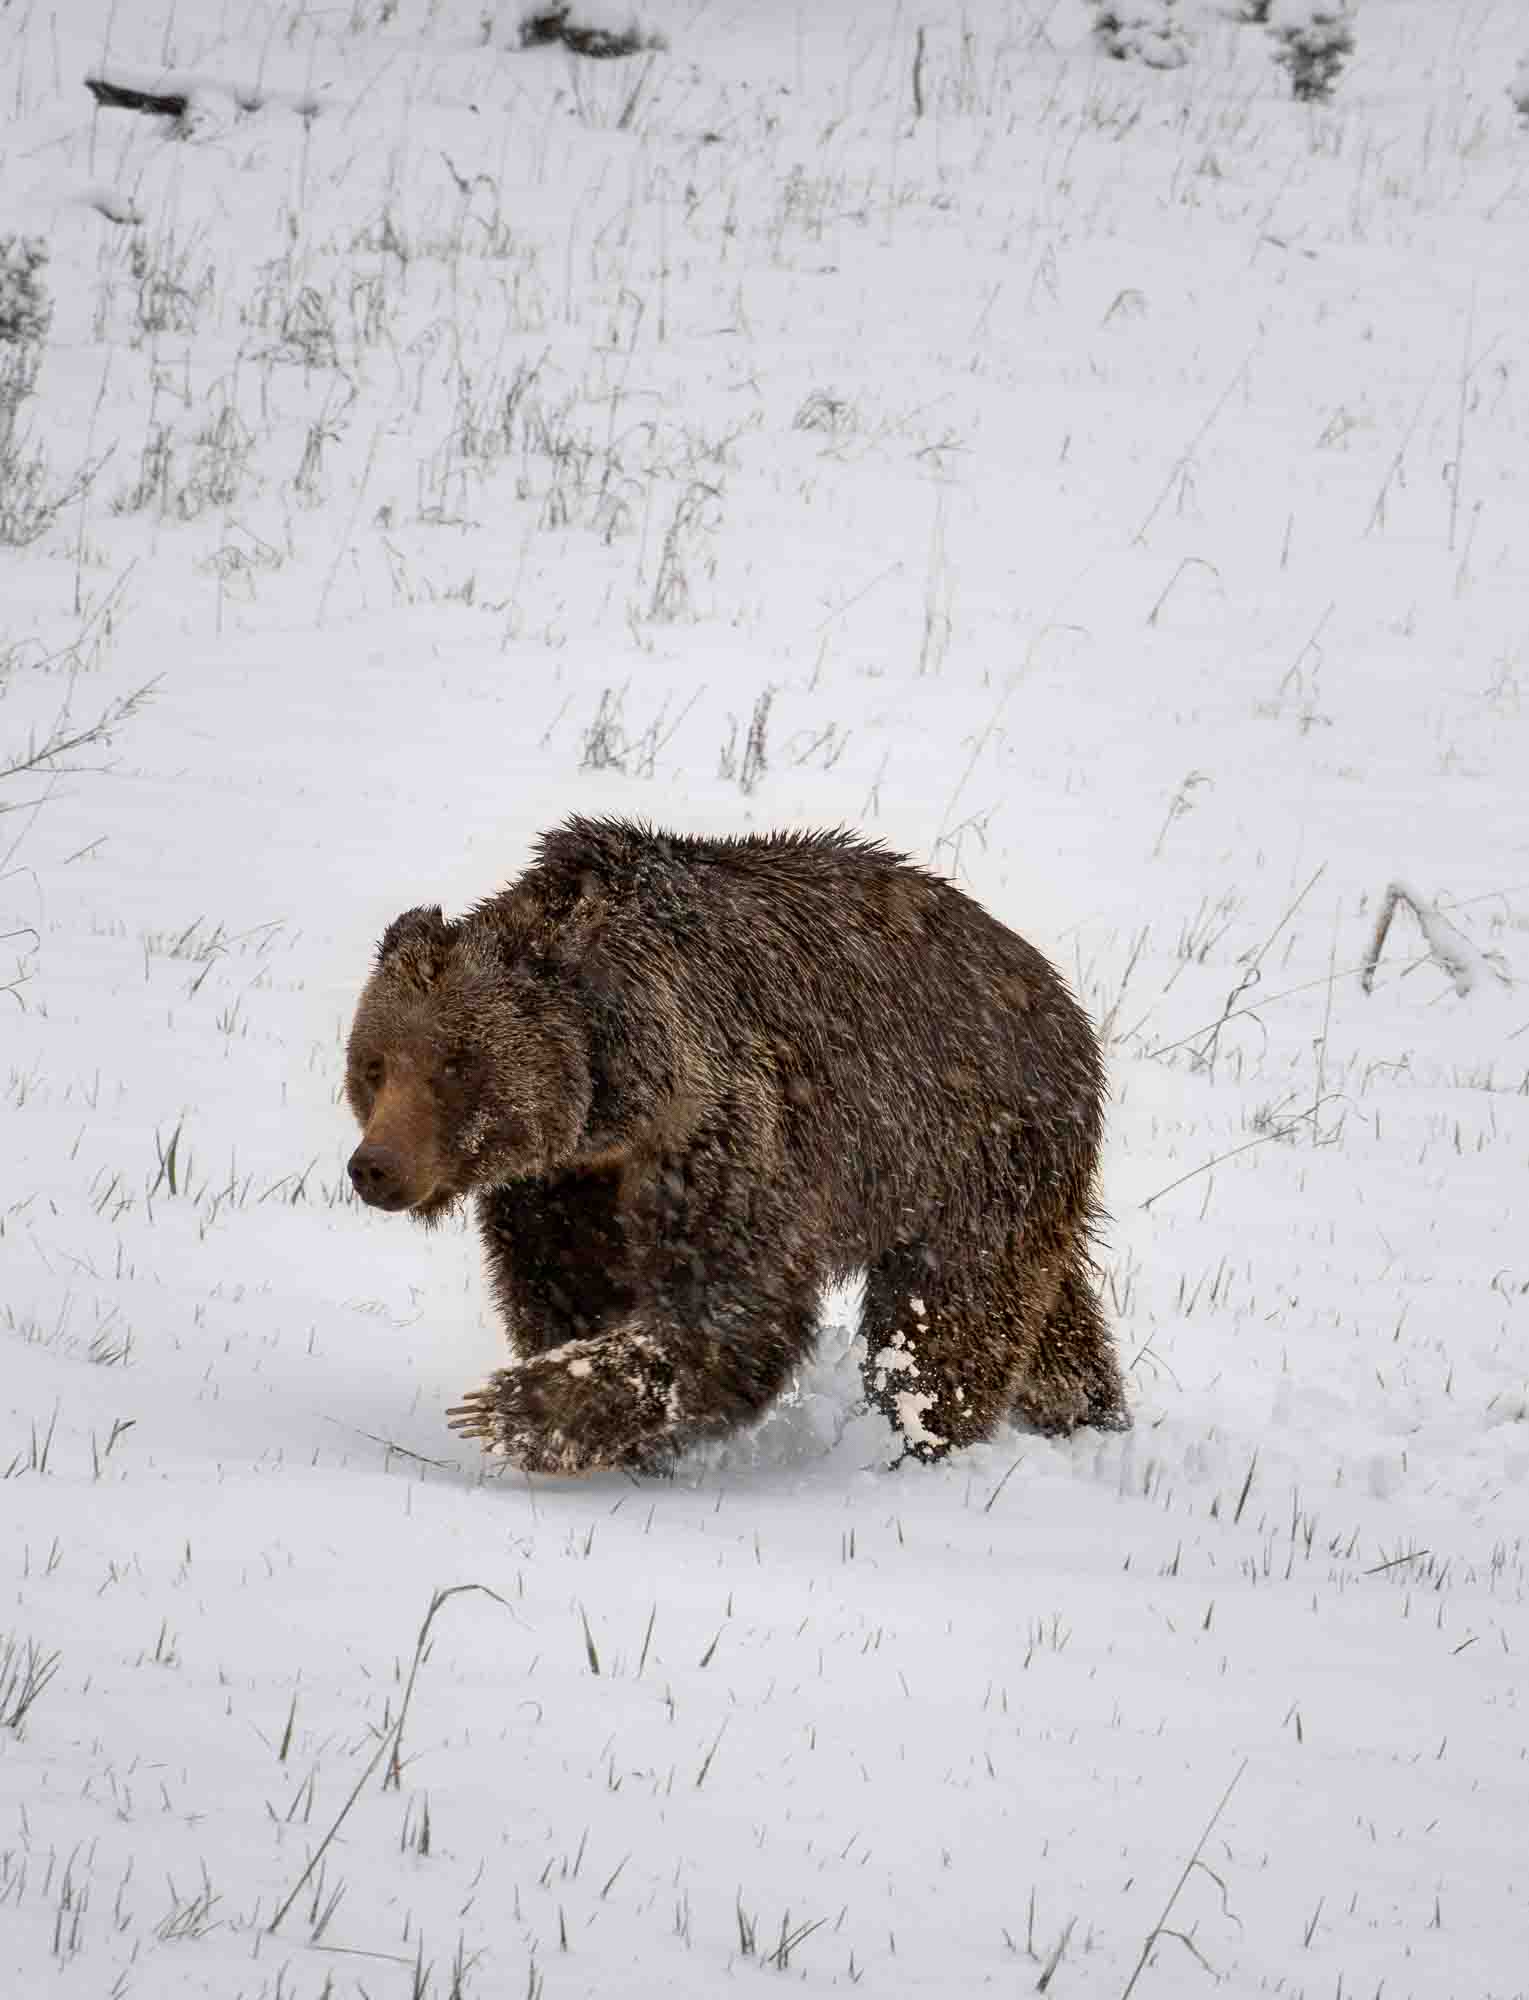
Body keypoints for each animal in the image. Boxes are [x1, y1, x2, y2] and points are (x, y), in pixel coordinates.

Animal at [350, 820, 1136, 1480]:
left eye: (455, 1065)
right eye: (374, 1064)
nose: (375, 1167)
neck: (613, 1095)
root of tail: (1053, 989)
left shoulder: (719, 1126)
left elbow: (729, 1301)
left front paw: (514, 1410)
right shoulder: (562, 1185)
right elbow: (568, 1289)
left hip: (971, 1149)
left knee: (946, 1319)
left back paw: (923, 1441)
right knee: (1047, 1308)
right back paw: (1086, 1409)